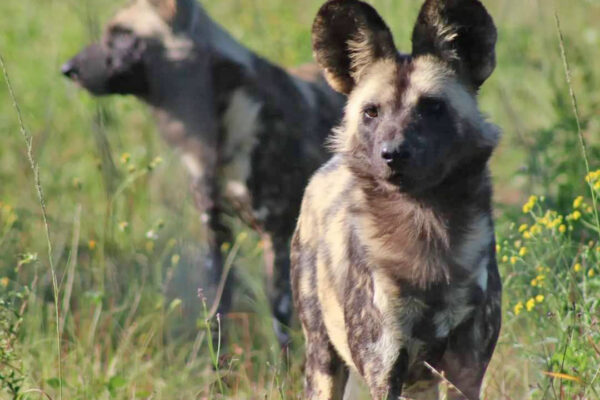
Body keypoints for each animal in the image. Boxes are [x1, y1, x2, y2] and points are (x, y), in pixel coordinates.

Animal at [61, 0, 344, 344]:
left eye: (123, 35)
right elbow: (218, 313)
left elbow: (281, 326)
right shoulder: (215, 232)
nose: (68, 69)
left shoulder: (277, 237)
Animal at [290, 0, 502, 396]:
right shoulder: (384, 364)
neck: (426, 240)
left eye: (432, 106)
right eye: (371, 112)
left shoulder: (466, 370)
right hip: (323, 363)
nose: (392, 153)